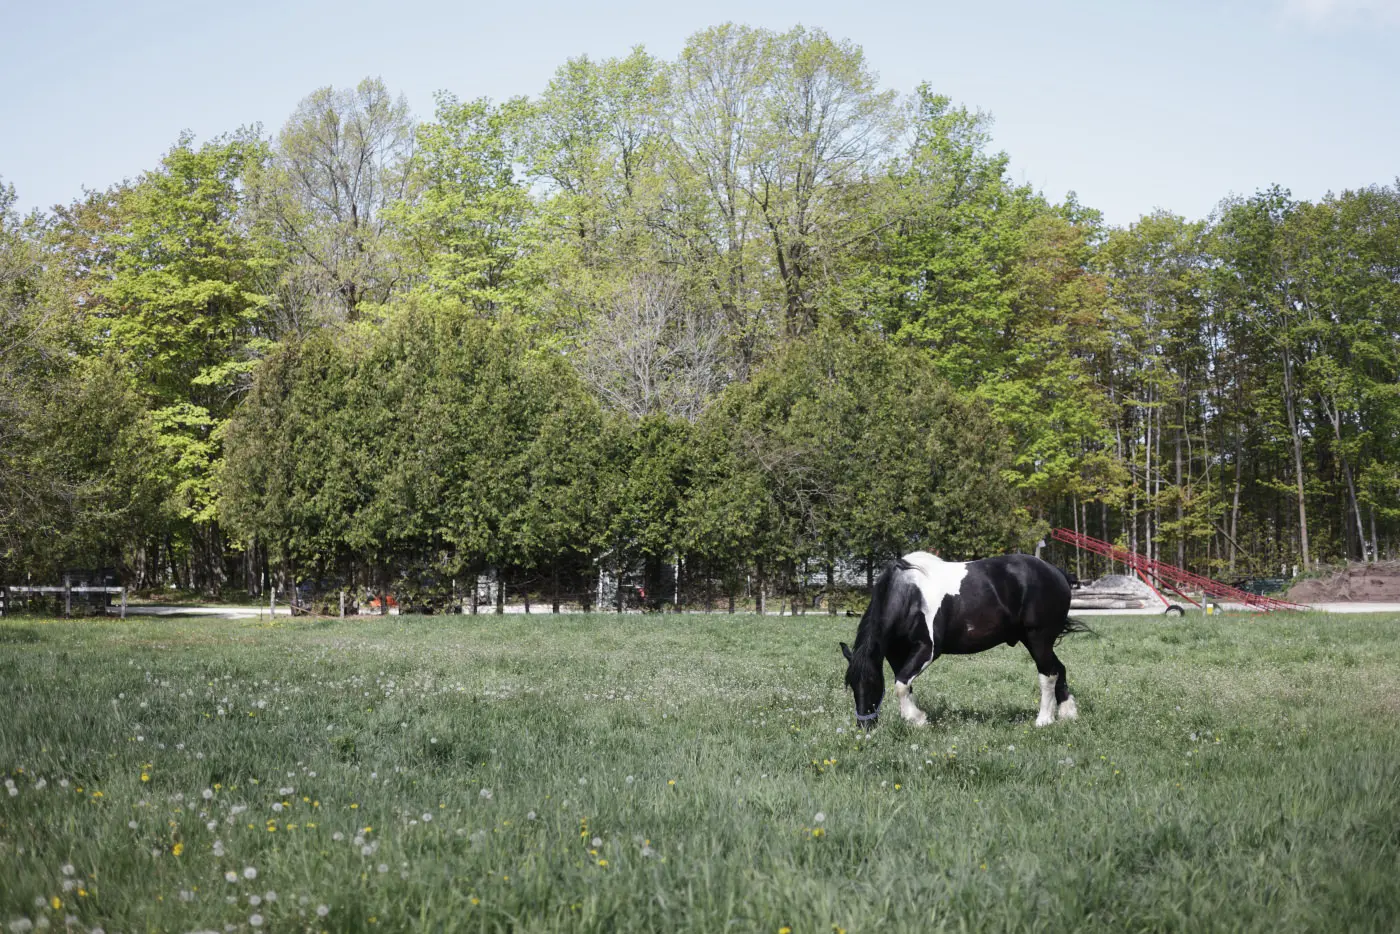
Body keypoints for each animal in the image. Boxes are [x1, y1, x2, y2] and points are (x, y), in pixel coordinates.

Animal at [840, 551, 1089, 729]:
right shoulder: (896, 653)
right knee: (1059, 668)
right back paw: (1067, 713)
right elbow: (903, 684)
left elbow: (901, 684)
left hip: (1038, 638)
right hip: (1034, 640)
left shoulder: (927, 650)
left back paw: (1044, 720)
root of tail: (1057, 573)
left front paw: (917, 719)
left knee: (1048, 674)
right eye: (851, 685)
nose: (864, 726)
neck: (909, 595)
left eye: (873, 683)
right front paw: (913, 718)